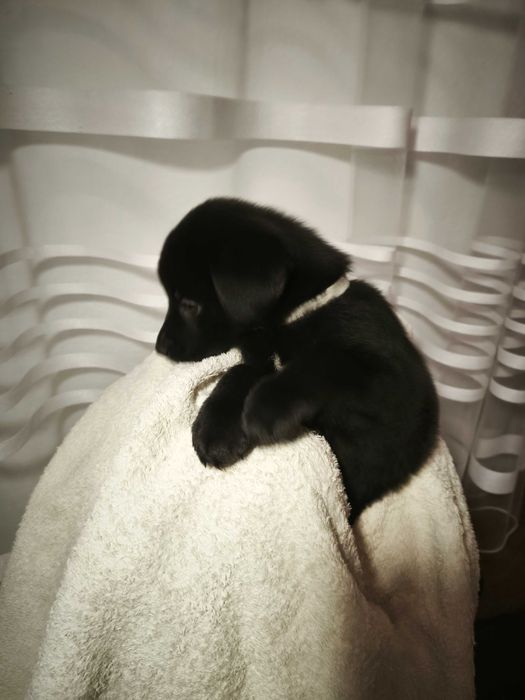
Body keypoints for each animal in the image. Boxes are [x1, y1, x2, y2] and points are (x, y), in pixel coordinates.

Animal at [155, 197, 439, 523]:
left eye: (189, 303)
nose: (160, 347)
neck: (290, 320)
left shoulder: (387, 379)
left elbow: (324, 363)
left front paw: (265, 406)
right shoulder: (258, 359)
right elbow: (237, 373)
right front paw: (215, 427)